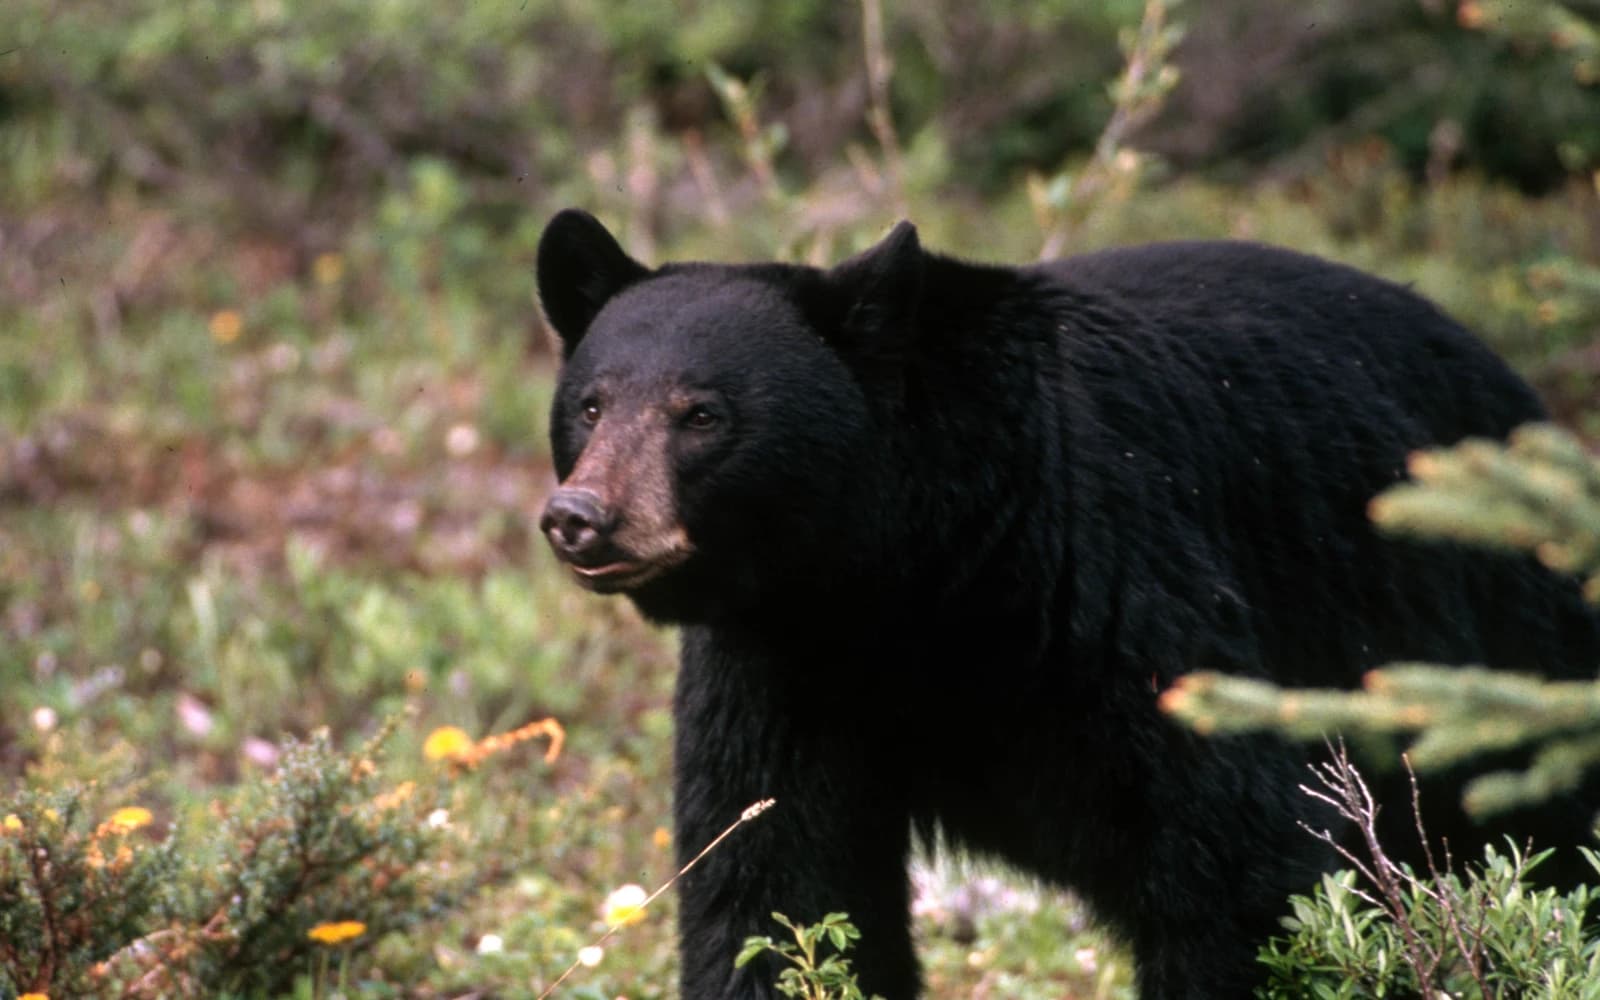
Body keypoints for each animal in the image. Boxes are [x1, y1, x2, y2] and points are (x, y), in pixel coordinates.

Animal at [534, 208, 1600, 999]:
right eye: (590, 403)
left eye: (702, 413)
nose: (580, 518)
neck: (910, 568)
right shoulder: (780, 663)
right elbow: (773, 881)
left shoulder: (1116, 580)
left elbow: (1241, 860)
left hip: (1494, 636)